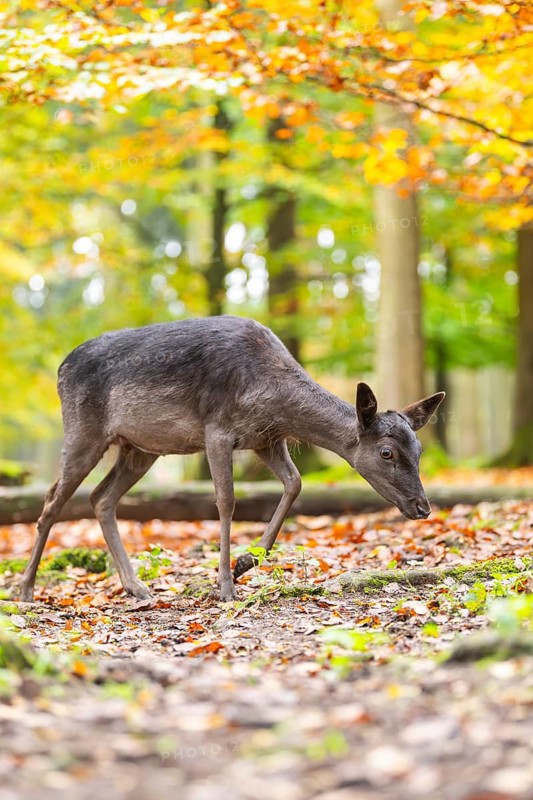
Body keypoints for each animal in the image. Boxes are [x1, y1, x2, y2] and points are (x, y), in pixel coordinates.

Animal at [19, 315, 445, 603]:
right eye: (387, 452)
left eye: (420, 450)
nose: (422, 506)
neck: (272, 399)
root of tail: (61, 367)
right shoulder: (217, 431)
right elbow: (226, 502)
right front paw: (224, 585)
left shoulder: (266, 440)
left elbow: (295, 484)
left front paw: (245, 564)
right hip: (82, 430)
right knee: (52, 501)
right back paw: (25, 589)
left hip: (140, 448)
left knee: (101, 498)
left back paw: (136, 586)